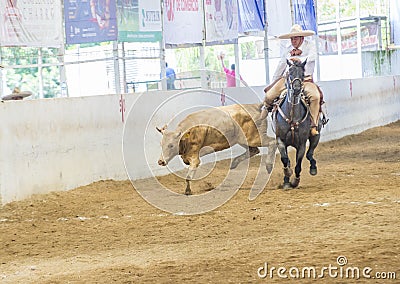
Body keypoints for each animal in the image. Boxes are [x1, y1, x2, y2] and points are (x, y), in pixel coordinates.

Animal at [272, 59, 322, 190]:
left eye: (303, 74)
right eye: (289, 72)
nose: (296, 89)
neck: (292, 115)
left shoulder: (301, 144)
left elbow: (298, 164)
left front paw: (295, 181)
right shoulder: (280, 140)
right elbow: (285, 159)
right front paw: (287, 177)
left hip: (316, 136)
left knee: (310, 153)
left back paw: (313, 168)